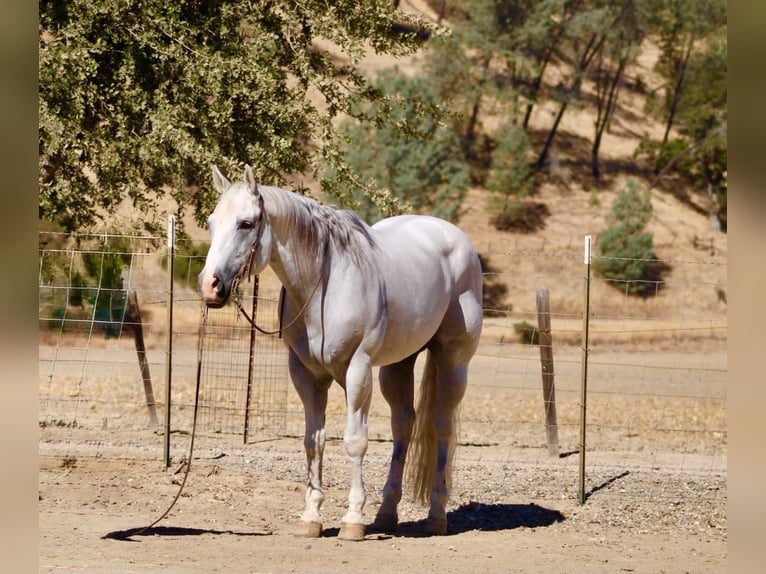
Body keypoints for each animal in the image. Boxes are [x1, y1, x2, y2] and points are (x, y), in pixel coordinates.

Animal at [198, 165, 483, 540]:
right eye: (211, 222)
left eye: (246, 223)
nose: (210, 285)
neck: (324, 284)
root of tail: (454, 238)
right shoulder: (306, 374)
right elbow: (314, 441)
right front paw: (311, 518)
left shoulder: (357, 369)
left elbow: (354, 440)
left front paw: (352, 520)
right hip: (398, 365)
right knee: (403, 426)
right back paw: (386, 514)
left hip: (453, 362)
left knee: (442, 427)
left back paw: (436, 516)